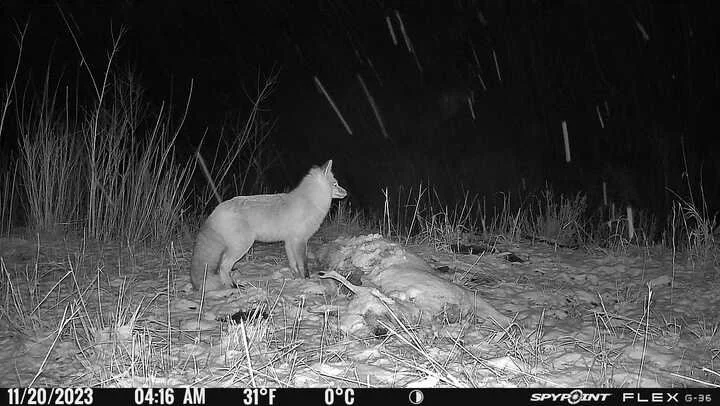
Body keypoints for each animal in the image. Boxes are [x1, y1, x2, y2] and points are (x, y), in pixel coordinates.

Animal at [191, 160, 347, 291]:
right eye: (335, 184)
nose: (346, 192)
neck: (311, 201)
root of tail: (217, 210)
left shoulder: (289, 241)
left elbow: (293, 264)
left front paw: (296, 279)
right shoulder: (300, 240)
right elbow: (303, 264)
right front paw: (307, 280)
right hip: (242, 246)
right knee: (223, 267)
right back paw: (232, 286)